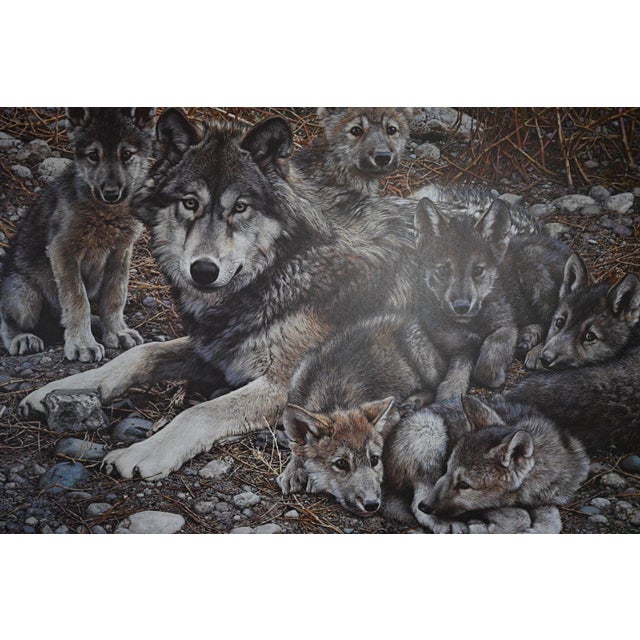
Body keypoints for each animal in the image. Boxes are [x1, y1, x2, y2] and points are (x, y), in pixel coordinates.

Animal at [0, 107, 155, 362]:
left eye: (126, 154)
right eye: (93, 155)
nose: (111, 193)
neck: (105, 213)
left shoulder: (121, 251)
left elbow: (115, 296)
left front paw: (117, 332)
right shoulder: (62, 251)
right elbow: (77, 300)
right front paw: (83, 344)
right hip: (25, 298)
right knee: (7, 319)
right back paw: (22, 338)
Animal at [19, 109, 415, 480]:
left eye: (240, 207)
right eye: (190, 203)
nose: (203, 270)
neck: (281, 269)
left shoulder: (285, 386)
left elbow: (200, 411)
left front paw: (144, 452)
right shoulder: (214, 346)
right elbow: (137, 356)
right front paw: (62, 390)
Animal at [276, 313, 447, 516]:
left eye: (374, 460)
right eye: (341, 464)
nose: (372, 504)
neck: (332, 396)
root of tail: (407, 317)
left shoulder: (392, 416)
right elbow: (296, 448)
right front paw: (292, 471)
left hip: (423, 360)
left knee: (435, 386)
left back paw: (413, 402)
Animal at [383, 395, 589, 533]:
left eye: (464, 484)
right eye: (447, 470)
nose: (425, 506)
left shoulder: (547, 499)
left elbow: (553, 520)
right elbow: (520, 515)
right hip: (430, 431)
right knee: (415, 504)